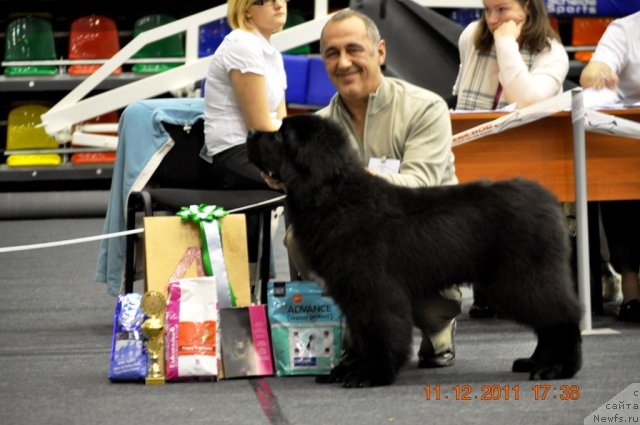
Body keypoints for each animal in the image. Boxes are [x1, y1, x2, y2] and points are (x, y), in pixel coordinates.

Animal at [248, 114, 584, 386]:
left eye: (280, 135)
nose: (250, 131)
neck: (336, 196)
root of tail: (548, 200)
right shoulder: (351, 292)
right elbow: (359, 334)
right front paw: (347, 369)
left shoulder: (373, 291)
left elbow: (377, 331)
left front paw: (371, 374)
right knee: (548, 321)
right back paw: (536, 362)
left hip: (521, 280)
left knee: (562, 316)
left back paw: (557, 368)